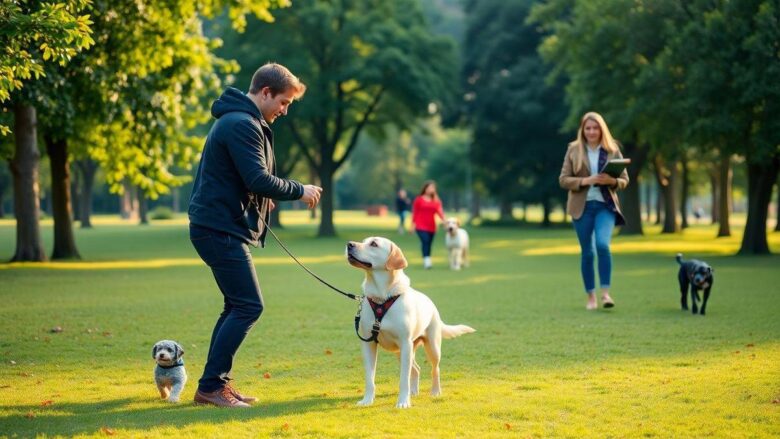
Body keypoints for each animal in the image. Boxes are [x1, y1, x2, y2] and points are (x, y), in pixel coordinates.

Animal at [348, 237, 476, 410]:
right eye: (363, 241)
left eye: (373, 244)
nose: (349, 244)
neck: (382, 298)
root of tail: (431, 303)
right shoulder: (369, 344)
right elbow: (370, 378)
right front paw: (367, 400)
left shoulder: (405, 343)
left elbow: (403, 379)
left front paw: (403, 401)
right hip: (401, 351)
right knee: (416, 369)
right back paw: (414, 391)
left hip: (431, 347)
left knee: (435, 369)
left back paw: (435, 391)